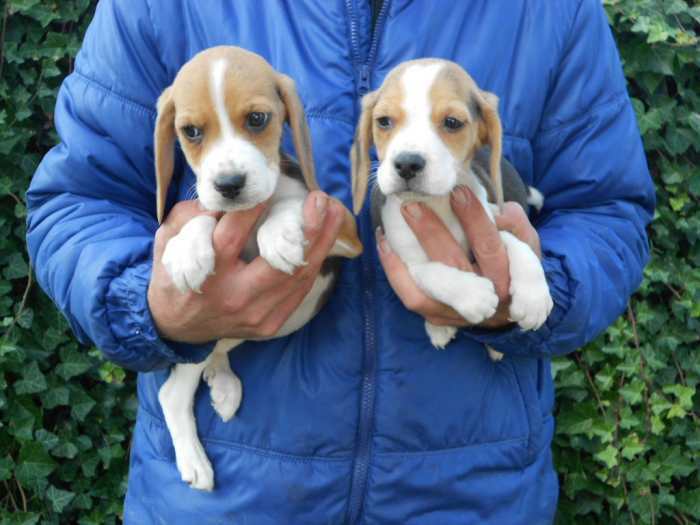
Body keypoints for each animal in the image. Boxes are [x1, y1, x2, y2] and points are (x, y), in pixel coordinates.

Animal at [153, 47, 360, 490]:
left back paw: (223, 383)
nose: (229, 184)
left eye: (257, 119)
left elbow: (294, 203)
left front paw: (278, 231)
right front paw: (187, 249)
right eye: (191, 131)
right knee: (172, 395)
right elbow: (203, 213)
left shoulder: (344, 227)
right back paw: (195, 458)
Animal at [350, 59, 552, 358]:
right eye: (384, 121)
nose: (407, 164)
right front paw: (473, 294)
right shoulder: (402, 258)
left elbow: (516, 242)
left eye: (452, 123)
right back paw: (438, 327)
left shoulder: (490, 219)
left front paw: (533, 296)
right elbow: (431, 272)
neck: (438, 204)